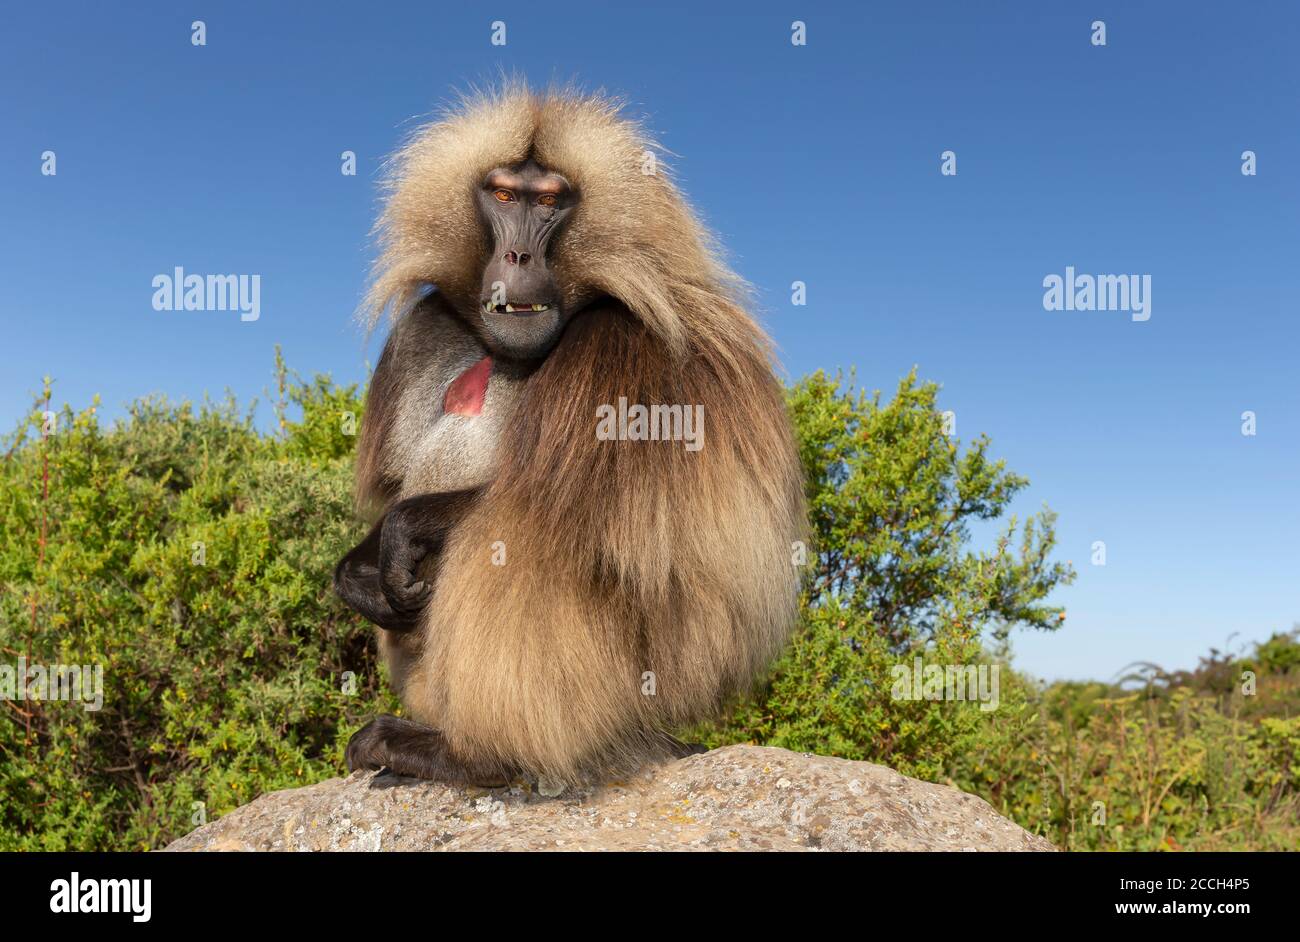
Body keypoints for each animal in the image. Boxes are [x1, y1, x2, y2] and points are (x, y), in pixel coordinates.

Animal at [334, 84, 807, 787]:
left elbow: (584, 519)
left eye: (551, 202)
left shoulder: (621, 348)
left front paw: (404, 530)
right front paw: (356, 574)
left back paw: (471, 754)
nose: (518, 257)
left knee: (525, 533)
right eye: (504, 196)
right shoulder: (427, 328)